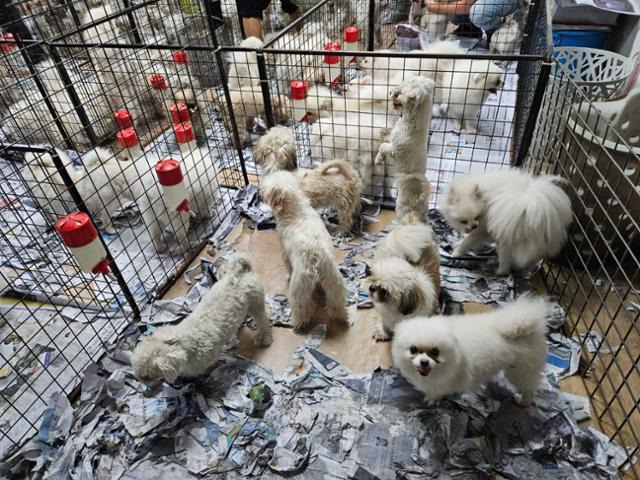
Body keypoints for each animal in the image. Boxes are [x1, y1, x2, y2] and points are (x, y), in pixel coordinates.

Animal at [132, 253, 272, 384]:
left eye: (147, 377)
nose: (142, 384)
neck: (182, 342)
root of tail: (241, 272)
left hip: (256, 303)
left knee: (263, 320)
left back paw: (263, 337)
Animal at [262, 171, 350, 332]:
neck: (294, 208)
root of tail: (316, 255)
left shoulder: (284, 251)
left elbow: (287, 264)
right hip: (334, 280)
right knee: (336, 300)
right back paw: (340, 315)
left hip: (300, 284)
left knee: (300, 305)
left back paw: (299, 323)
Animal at [392, 296, 548, 404]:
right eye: (413, 349)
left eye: (435, 351)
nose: (424, 362)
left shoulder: (443, 382)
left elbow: (435, 392)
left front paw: (431, 400)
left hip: (520, 371)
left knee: (529, 388)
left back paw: (523, 401)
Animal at [442, 168, 572, 274]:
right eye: (463, 221)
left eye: (477, 217)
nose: (473, 226)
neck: (485, 198)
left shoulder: (483, 229)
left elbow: (469, 241)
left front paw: (457, 252)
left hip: (507, 239)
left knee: (506, 259)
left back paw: (500, 272)